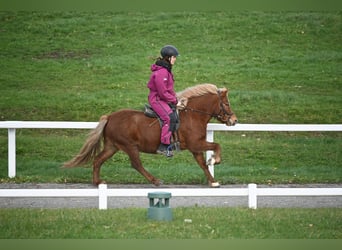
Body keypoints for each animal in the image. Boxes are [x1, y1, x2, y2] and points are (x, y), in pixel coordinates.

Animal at [62, 83, 238, 187]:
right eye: (227, 103)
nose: (234, 120)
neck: (193, 115)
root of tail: (110, 117)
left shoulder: (195, 147)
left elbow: (202, 164)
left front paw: (213, 181)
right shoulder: (195, 144)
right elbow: (216, 146)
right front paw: (215, 160)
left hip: (112, 146)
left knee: (98, 160)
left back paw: (97, 182)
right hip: (129, 146)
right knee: (136, 164)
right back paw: (155, 180)